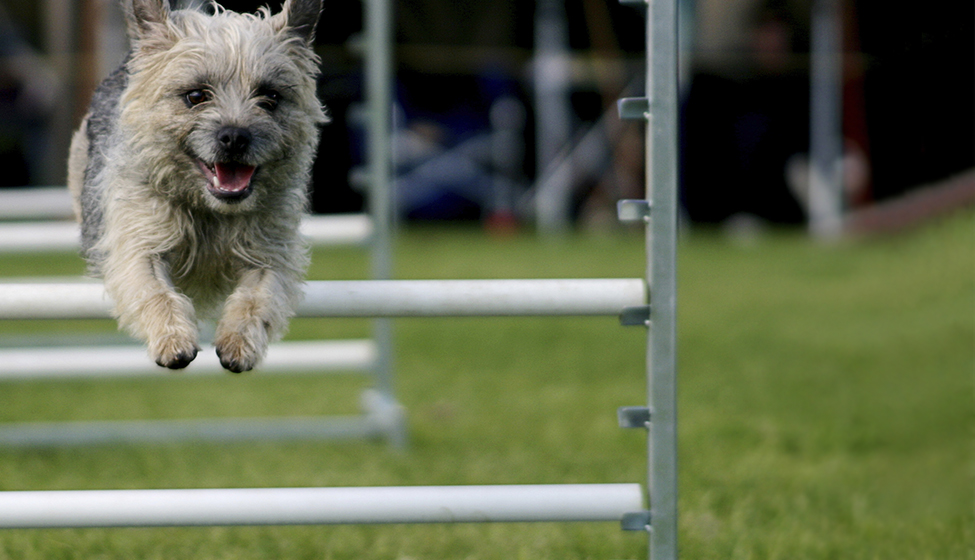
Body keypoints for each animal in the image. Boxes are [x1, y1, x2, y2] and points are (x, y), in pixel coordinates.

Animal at [68, 0, 330, 372]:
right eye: (196, 96)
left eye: (270, 97)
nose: (235, 136)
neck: (211, 210)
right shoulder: (138, 242)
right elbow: (154, 291)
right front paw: (173, 338)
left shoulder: (270, 254)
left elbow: (257, 297)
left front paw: (239, 342)